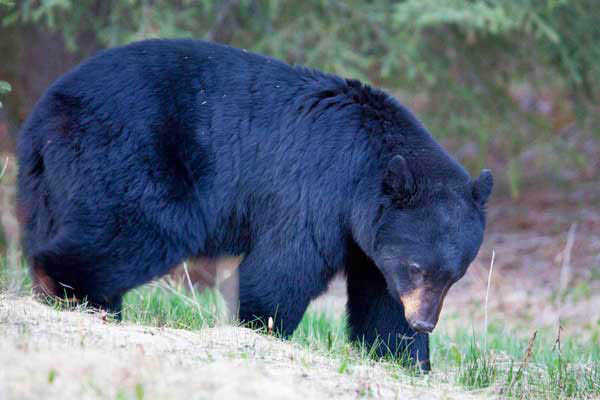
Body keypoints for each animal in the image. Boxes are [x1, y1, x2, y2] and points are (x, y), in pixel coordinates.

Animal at [17, 39, 492, 370]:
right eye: (418, 267)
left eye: (454, 275)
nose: (425, 321)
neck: (364, 168)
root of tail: (44, 114)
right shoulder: (316, 188)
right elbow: (284, 267)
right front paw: (258, 330)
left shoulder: (372, 238)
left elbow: (381, 297)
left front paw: (407, 357)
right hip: (129, 155)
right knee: (140, 229)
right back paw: (68, 289)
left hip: (51, 180)